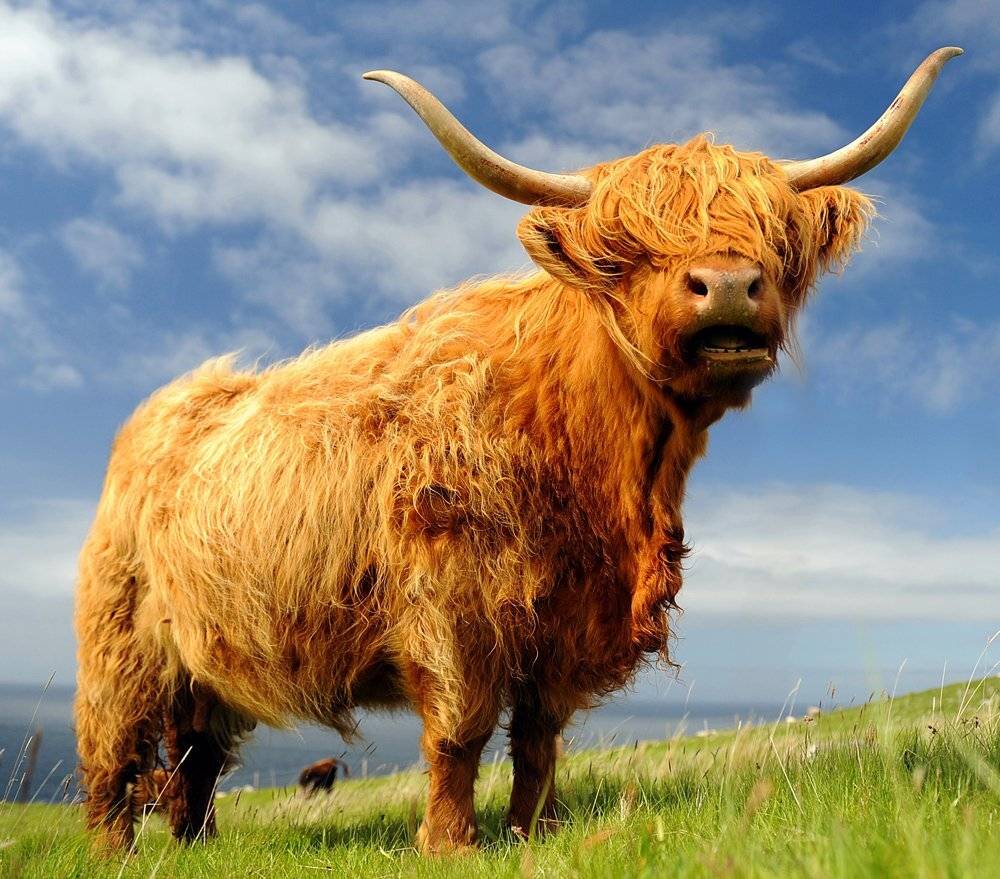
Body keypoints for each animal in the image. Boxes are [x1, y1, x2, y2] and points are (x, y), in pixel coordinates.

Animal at [74, 48, 961, 853]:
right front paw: (451, 844)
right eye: (623, 251)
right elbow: (460, 732)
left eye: (773, 240)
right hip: (121, 640)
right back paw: (117, 853)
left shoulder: (566, 624)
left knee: (196, 754)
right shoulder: (451, 605)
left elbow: (540, 736)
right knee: (114, 753)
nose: (729, 287)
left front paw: (534, 831)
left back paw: (195, 843)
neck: (604, 472)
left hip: (201, 659)